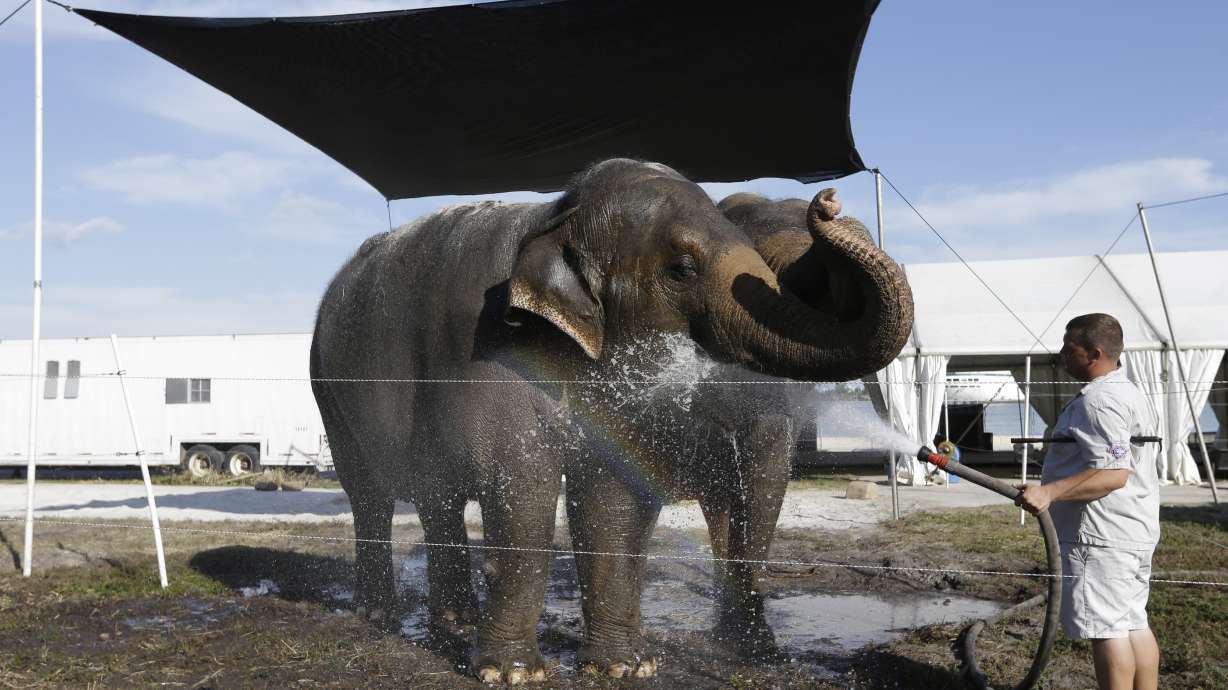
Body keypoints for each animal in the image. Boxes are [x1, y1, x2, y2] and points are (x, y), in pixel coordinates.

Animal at [310, 158, 913, 684]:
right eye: (683, 269)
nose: (828, 200)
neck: (556, 215)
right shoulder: (489, 350)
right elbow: (521, 482)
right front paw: (512, 675)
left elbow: (613, 493)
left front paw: (627, 668)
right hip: (329, 390)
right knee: (370, 494)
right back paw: (378, 616)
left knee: (438, 499)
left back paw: (454, 622)